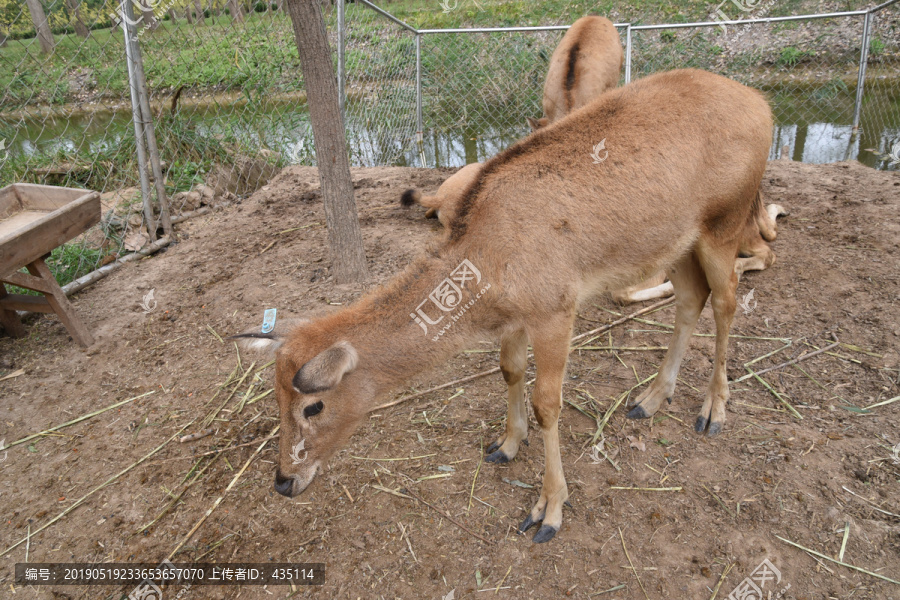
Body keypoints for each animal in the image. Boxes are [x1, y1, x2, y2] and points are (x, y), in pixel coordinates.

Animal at [234, 69, 772, 544]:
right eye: (274, 396)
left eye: (313, 404)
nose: (284, 481)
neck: (486, 265)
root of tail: (762, 104)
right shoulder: (515, 318)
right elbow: (509, 371)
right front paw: (506, 445)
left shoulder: (557, 308)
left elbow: (547, 404)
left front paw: (548, 511)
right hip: (677, 243)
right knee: (691, 299)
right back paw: (649, 399)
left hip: (726, 222)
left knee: (726, 300)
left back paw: (713, 410)